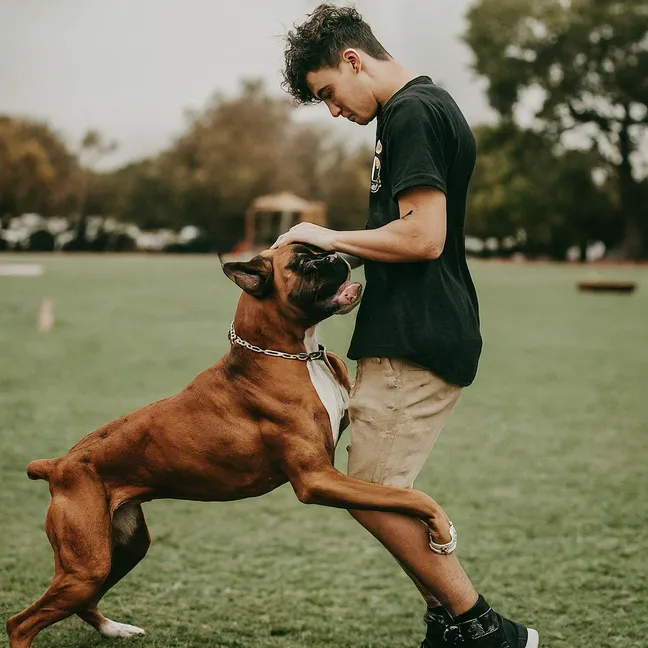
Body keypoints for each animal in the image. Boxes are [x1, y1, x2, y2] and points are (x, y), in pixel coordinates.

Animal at [5, 244, 454, 648]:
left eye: (319, 250)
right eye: (304, 262)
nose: (334, 255)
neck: (292, 355)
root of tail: (58, 465)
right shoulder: (316, 479)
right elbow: (415, 498)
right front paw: (440, 527)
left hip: (120, 550)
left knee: (80, 603)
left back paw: (116, 629)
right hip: (87, 565)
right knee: (20, 624)